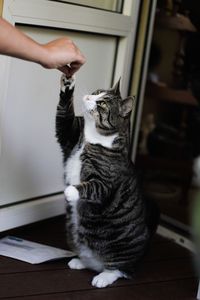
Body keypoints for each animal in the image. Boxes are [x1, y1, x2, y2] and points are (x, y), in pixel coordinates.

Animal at [55, 75, 159, 288]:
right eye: (96, 93)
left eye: (101, 103)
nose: (87, 96)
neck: (91, 137)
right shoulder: (70, 135)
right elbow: (63, 116)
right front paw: (68, 82)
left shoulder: (105, 181)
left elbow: (92, 187)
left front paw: (70, 191)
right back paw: (80, 262)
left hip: (122, 250)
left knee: (120, 269)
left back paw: (103, 278)